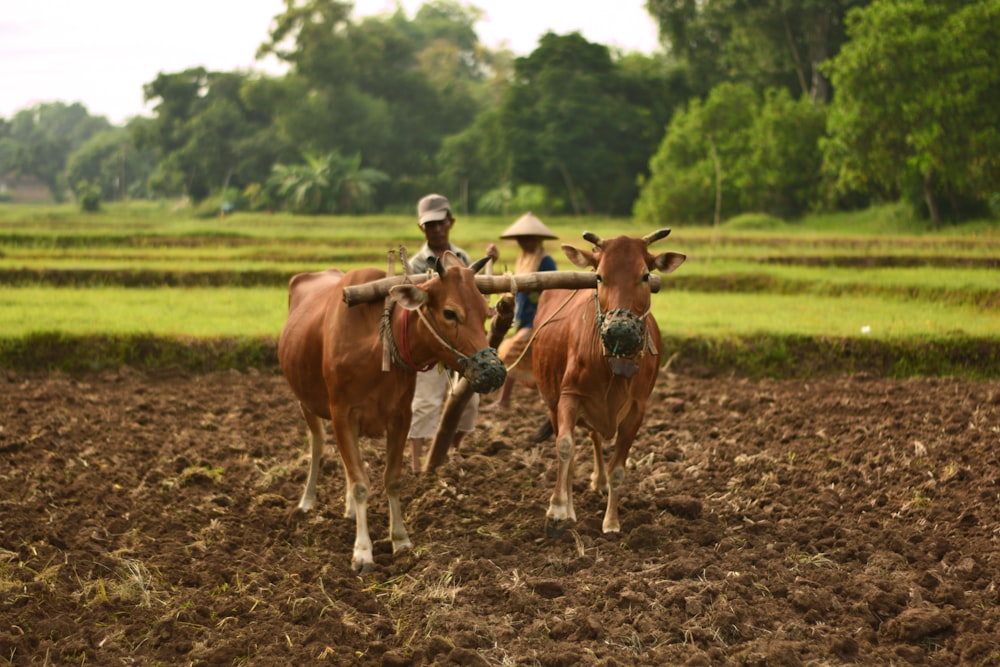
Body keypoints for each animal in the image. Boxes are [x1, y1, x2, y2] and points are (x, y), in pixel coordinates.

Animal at [278, 253, 504, 572]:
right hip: (306, 403)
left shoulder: (400, 417)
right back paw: (306, 502)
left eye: (485, 313)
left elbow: (392, 479)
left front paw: (400, 539)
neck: (378, 344)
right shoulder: (342, 414)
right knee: (318, 447)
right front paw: (362, 551)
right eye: (450, 313)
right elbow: (361, 483)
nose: (494, 371)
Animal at [532, 230, 688, 536]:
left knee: (594, 438)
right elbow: (565, 447)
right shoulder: (568, 396)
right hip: (551, 402)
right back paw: (569, 505)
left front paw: (612, 522)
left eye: (645, 275)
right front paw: (558, 509)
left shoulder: (637, 411)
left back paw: (600, 482)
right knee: (569, 449)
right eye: (600, 276)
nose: (619, 330)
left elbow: (618, 468)